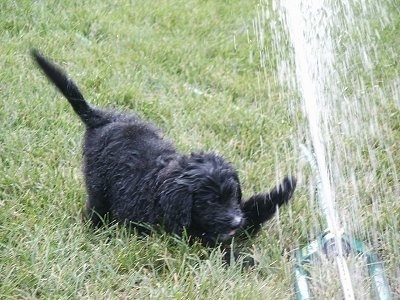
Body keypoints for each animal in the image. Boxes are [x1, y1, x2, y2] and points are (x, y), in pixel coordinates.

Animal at [32, 49, 296, 246]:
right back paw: (95, 228)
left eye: (232, 195)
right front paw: (243, 261)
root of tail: (102, 117)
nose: (234, 222)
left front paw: (284, 189)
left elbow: (251, 215)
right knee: (97, 204)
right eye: (210, 202)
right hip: (97, 182)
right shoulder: (185, 232)